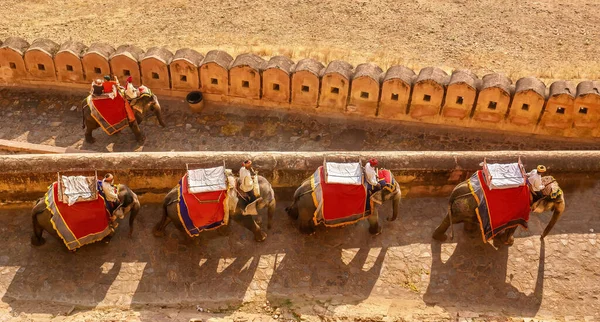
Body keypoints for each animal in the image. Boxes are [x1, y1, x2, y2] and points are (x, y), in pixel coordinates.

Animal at [432, 176, 564, 244]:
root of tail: (454, 193)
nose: (540, 238)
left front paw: (500, 238)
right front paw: (508, 242)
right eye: (557, 199)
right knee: (454, 219)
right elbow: (514, 224)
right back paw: (442, 238)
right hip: (465, 206)